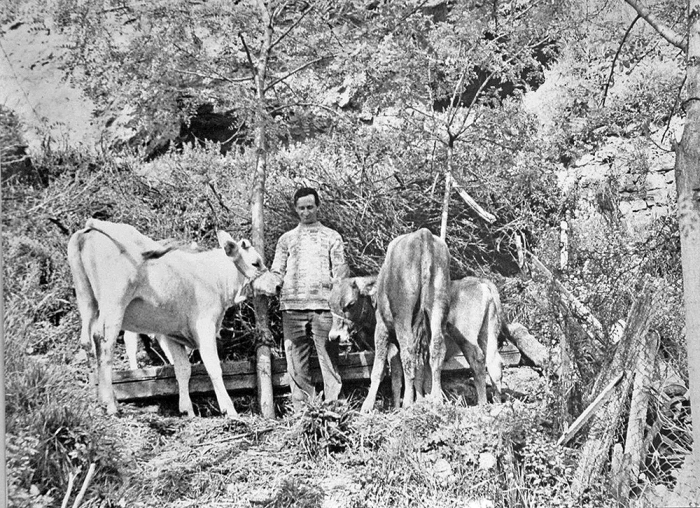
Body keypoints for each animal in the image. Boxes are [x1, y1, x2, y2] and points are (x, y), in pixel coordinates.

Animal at [68, 218, 266, 416]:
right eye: (255, 263)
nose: (272, 282)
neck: (212, 276)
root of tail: (91, 226)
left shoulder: (172, 332)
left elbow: (182, 369)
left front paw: (188, 410)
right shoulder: (205, 325)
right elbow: (213, 366)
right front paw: (229, 410)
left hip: (87, 301)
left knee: (92, 342)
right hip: (113, 306)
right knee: (105, 345)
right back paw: (110, 405)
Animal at [328, 274, 504, 408]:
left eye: (350, 304)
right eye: (330, 304)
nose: (334, 336)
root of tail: (480, 282)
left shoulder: (389, 342)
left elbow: (388, 374)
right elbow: (413, 377)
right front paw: (409, 404)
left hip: (466, 338)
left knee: (477, 361)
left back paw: (482, 403)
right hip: (487, 333)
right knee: (494, 363)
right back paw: (497, 402)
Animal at [358, 230, 452, 412]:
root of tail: (423, 234)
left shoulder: (382, 328)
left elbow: (379, 368)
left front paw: (367, 406)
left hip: (403, 316)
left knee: (408, 354)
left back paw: (408, 403)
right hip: (438, 308)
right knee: (437, 349)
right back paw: (436, 400)